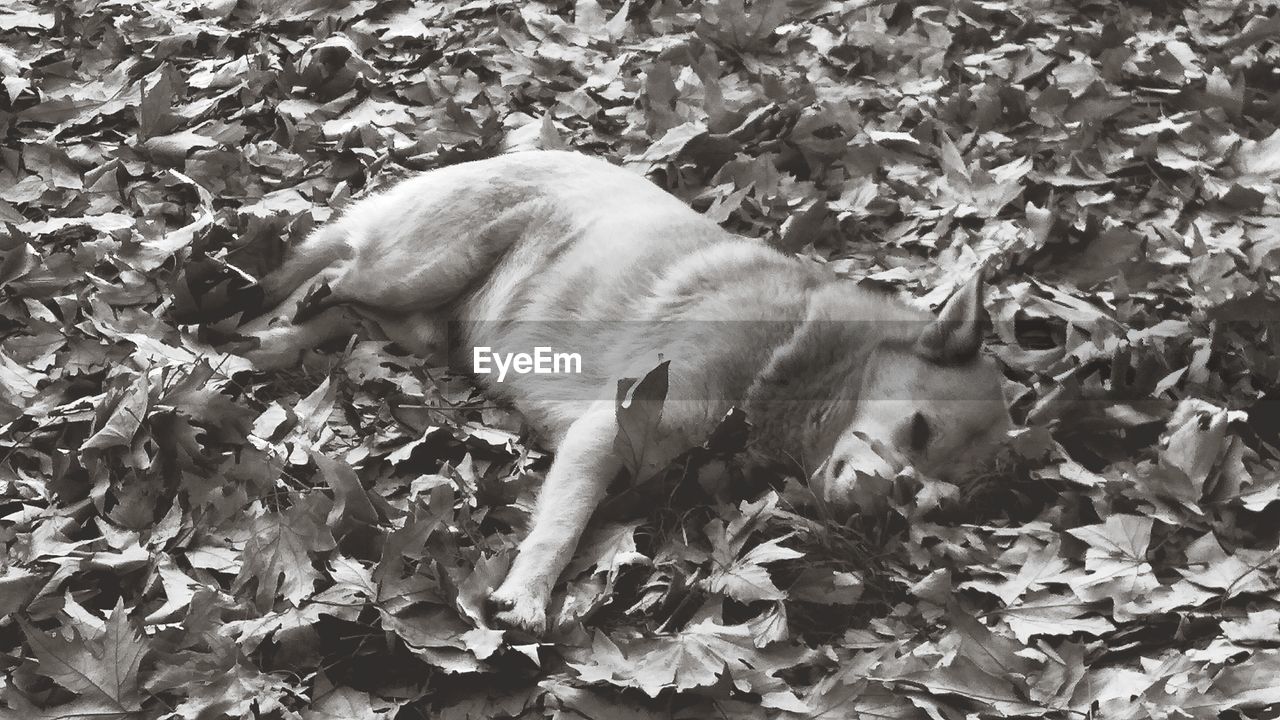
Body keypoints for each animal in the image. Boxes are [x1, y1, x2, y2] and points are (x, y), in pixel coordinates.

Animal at [240, 148, 1013, 630]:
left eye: (940, 500)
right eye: (917, 429)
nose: (883, 504)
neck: (791, 350)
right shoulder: (611, 427)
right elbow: (560, 527)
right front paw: (527, 593)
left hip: (423, 327)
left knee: (344, 310)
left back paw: (268, 342)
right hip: (425, 265)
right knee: (330, 277)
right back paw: (252, 325)